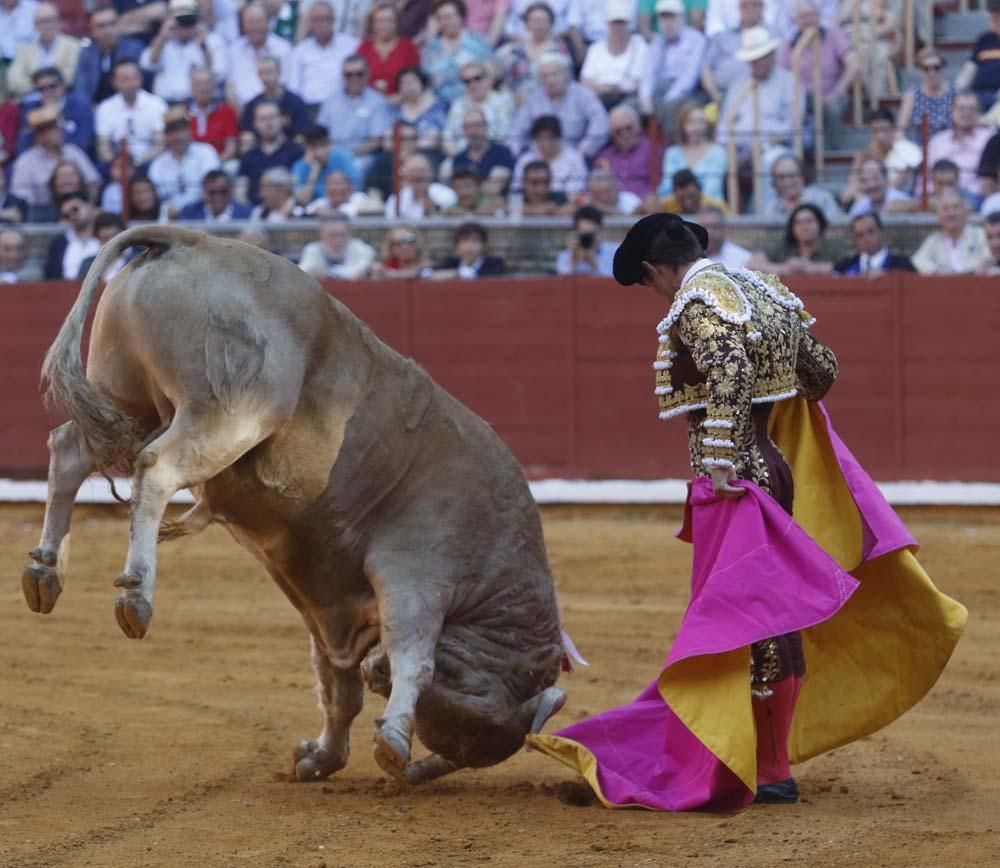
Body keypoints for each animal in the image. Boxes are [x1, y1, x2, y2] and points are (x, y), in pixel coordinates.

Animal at [23, 227, 568, 784]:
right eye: (481, 700)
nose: (378, 672)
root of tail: (190, 240)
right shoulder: (417, 571)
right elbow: (414, 654)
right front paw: (392, 739)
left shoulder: (334, 607)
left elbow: (337, 687)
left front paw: (319, 757)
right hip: (232, 413)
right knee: (155, 466)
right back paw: (135, 593)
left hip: (125, 397)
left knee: (69, 450)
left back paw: (45, 572)